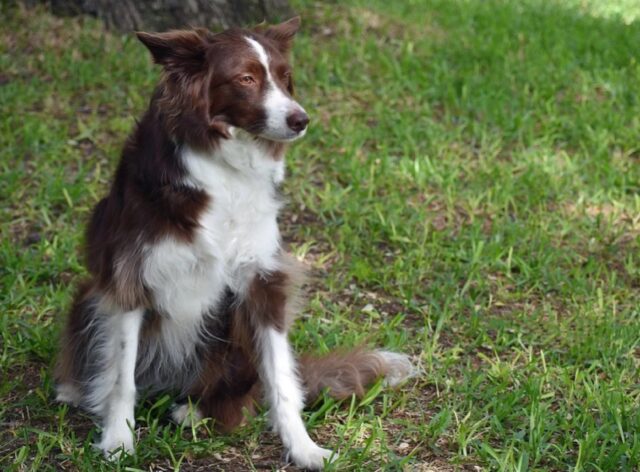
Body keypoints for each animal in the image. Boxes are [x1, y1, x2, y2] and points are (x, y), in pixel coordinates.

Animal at [56, 16, 416, 470]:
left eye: (284, 77)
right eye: (246, 79)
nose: (301, 119)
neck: (225, 163)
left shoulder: (264, 280)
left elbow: (282, 380)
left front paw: (305, 448)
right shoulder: (130, 275)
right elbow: (121, 376)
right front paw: (118, 441)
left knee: (242, 396)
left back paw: (194, 411)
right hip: (89, 292)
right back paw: (77, 389)